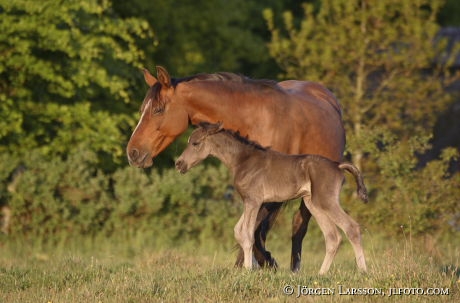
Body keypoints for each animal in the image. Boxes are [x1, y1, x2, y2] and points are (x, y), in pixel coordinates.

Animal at [174, 123, 368, 274]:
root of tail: (337, 165)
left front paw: (248, 270)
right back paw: (321, 274)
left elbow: (247, 234)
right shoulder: (251, 201)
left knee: (351, 228)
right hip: (312, 203)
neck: (242, 160)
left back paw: (363, 271)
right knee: (332, 236)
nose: (179, 164)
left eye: (196, 143)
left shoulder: (253, 201)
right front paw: (252, 266)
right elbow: (239, 231)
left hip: (326, 201)